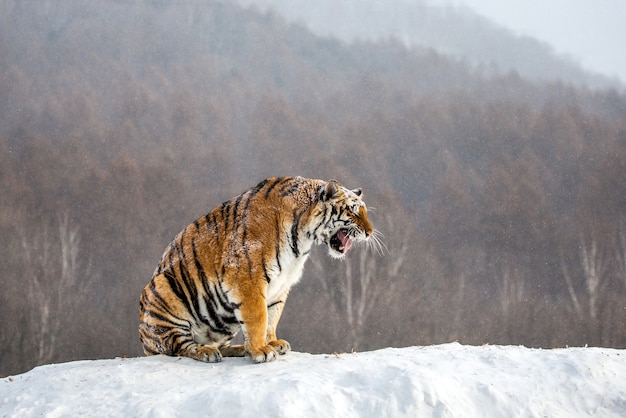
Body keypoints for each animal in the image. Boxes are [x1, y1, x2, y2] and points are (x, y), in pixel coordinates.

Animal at [138, 176, 372, 362]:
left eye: (365, 212)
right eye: (352, 212)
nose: (370, 233)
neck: (303, 238)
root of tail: (144, 342)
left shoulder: (281, 284)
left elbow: (272, 316)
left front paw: (272, 343)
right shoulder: (246, 276)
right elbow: (258, 316)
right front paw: (261, 350)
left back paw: (238, 349)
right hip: (163, 292)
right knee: (179, 346)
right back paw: (207, 352)